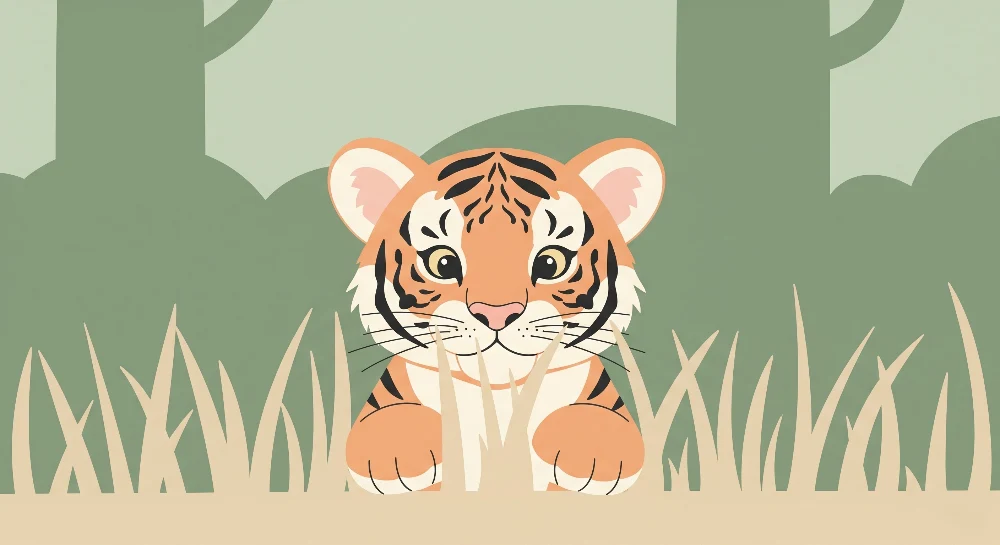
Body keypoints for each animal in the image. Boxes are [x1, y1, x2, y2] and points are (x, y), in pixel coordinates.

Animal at [327, 136, 664, 494]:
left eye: (551, 263)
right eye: (442, 263)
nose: (497, 313)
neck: (499, 395)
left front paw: (588, 452)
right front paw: (401, 452)